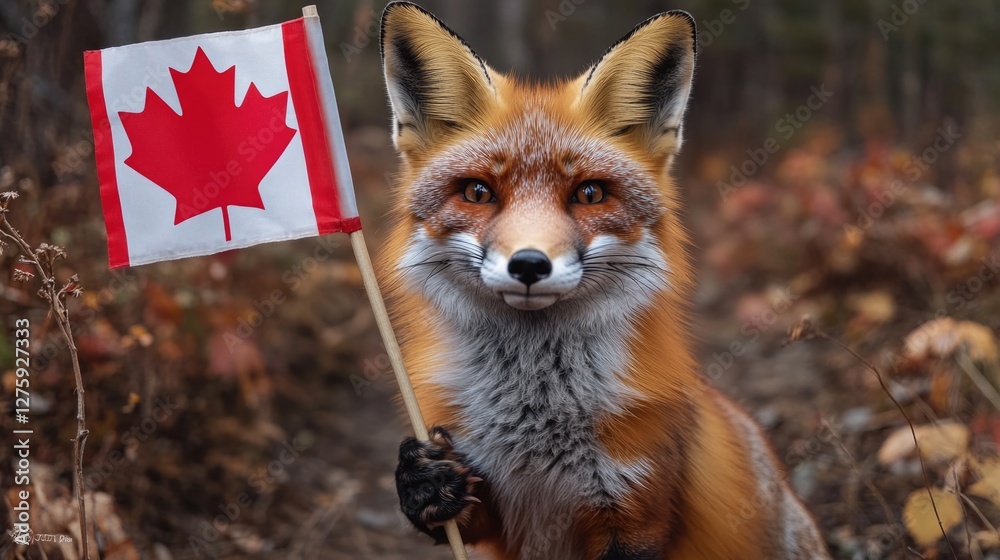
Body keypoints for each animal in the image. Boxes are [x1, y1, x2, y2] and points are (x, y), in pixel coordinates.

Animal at [377, 2, 831, 559]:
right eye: (478, 192)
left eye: (590, 194)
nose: (530, 265)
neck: (534, 420)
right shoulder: (489, 509)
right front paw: (421, 480)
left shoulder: (635, 512)